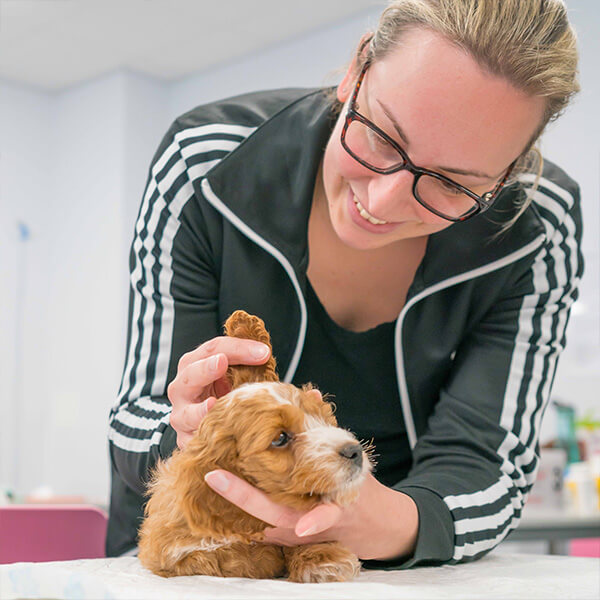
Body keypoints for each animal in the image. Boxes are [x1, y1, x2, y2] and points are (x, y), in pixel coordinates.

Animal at [139, 310, 370, 580]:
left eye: (323, 418)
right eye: (280, 438)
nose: (354, 451)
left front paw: (322, 560)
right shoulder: (168, 552)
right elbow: (219, 560)